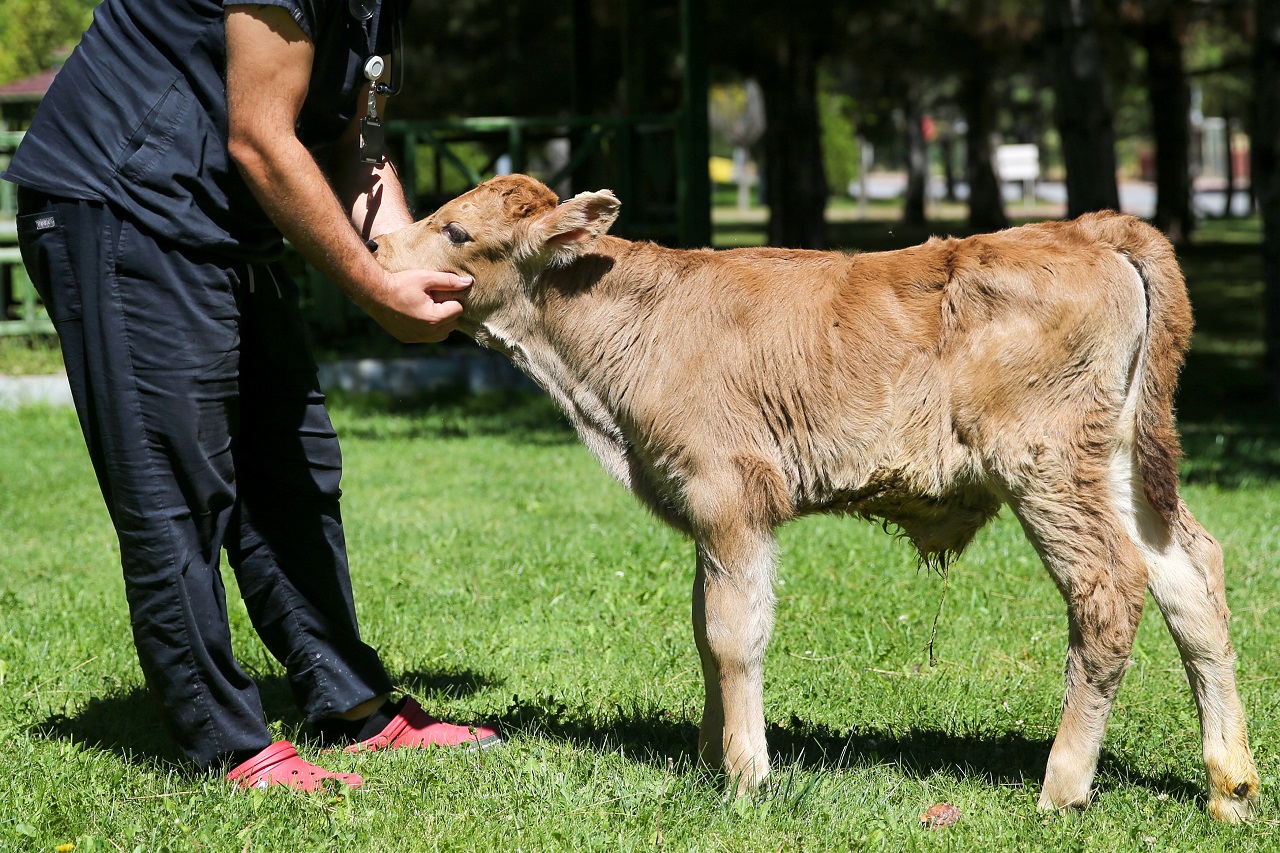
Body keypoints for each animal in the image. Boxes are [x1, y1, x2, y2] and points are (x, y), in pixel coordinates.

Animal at [376, 172, 1259, 819]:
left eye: (458, 232)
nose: (378, 242)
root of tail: (1083, 228)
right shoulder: (706, 511)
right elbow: (703, 629)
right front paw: (710, 754)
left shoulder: (729, 493)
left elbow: (733, 634)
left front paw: (746, 777)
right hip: (1119, 462)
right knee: (1191, 574)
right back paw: (1230, 784)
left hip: (1046, 462)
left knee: (1109, 586)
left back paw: (1062, 787)